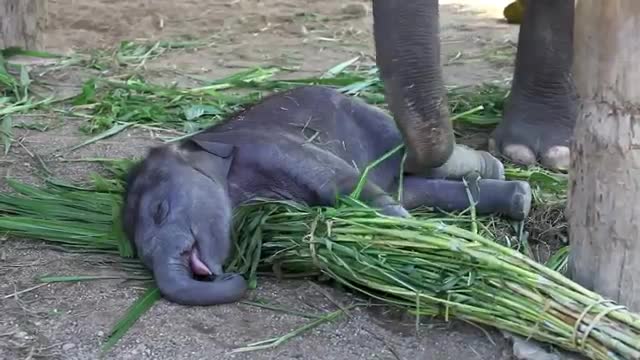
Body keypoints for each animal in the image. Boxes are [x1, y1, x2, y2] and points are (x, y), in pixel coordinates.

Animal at [122, 85, 532, 306]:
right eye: (139, 252)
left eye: (159, 210)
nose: (235, 275)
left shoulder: (275, 146)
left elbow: (345, 185)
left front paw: (421, 243)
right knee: (413, 187)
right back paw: (520, 196)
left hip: (373, 121)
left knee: (420, 166)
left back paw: (499, 172)